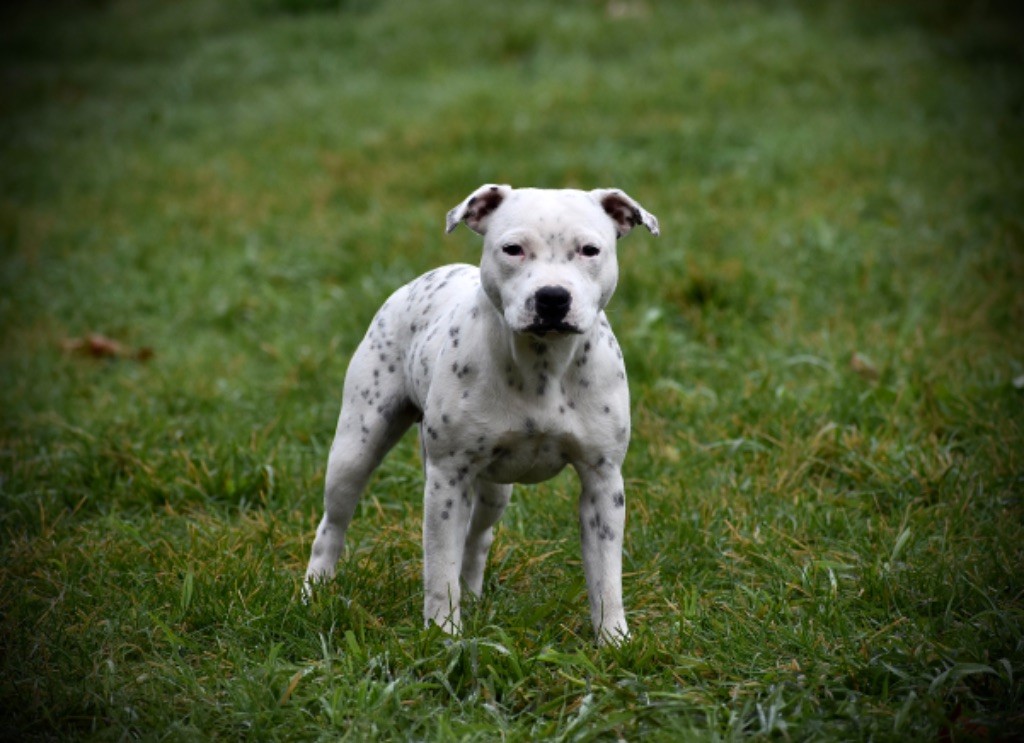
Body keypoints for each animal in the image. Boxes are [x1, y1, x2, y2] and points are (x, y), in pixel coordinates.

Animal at [299, 186, 659, 646]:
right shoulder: (447, 480)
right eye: (513, 249)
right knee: (333, 524)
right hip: (356, 448)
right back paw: (315, 591)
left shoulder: (603, 483)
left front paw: (613, 639)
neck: (542, 363)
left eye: (589, 250)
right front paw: (443, 633)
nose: (552, 296)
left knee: (477, 537)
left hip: (493, 492)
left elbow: (606, 574)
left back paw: (472, 596)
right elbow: (439, 567)